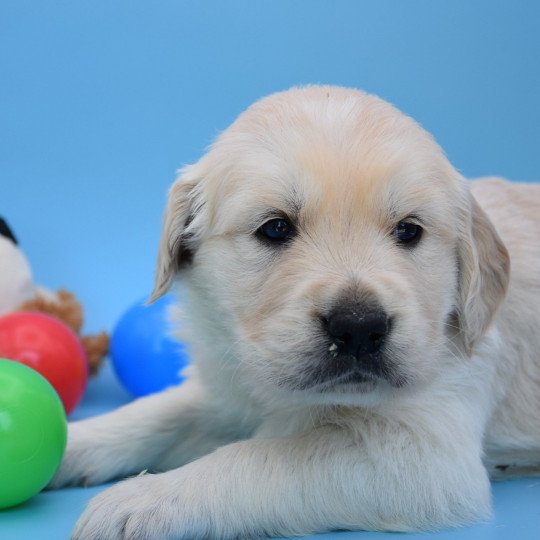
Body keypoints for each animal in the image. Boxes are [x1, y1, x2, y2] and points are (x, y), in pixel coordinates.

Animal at [50, 86, 540, 536]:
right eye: (275, 228)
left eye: (408, 230)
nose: (359, 327)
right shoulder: (228, 387)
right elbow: (156, 412)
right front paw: (69, 442)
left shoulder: (423, 456)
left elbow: (264, 456)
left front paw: (144, 498)